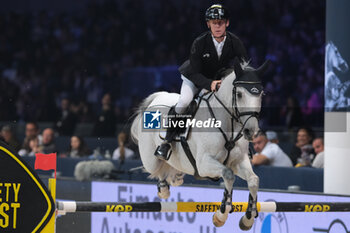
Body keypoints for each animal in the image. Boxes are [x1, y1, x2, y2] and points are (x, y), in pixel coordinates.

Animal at [130, 59, 270, 230]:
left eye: (261, 94)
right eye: (239, 94)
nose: (251, 131)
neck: (227, 123)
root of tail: (156, 98)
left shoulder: (239, 160)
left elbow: (253, 180)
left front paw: (248, 218)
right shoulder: (204, 164)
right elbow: (228, 175)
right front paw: (221, 215)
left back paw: (176, 177)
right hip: (150, 159)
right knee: (157, 168)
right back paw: (163, 187)